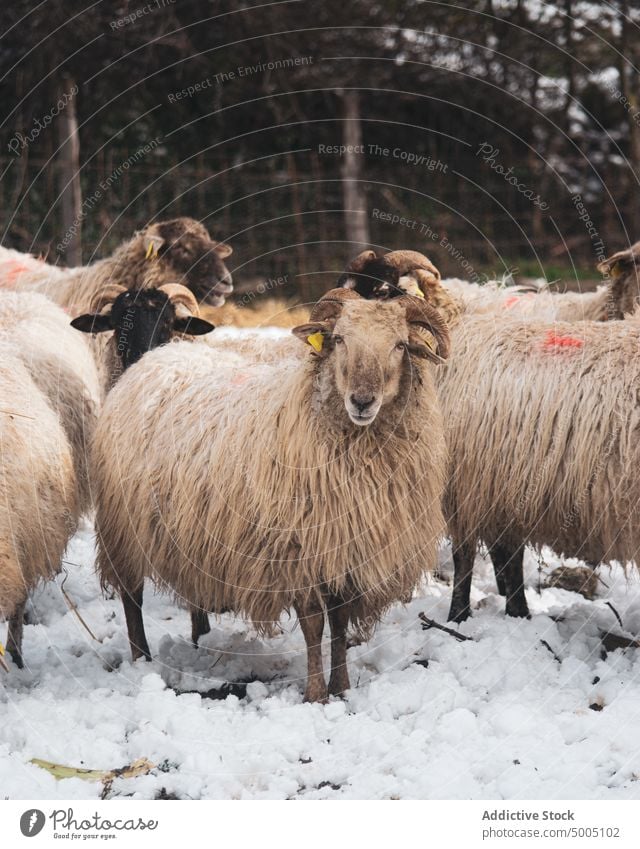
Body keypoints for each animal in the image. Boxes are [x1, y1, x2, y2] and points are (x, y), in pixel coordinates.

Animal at [90, 288, 450, 700]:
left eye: (400, 344)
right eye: (339, 339)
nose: (362, 401)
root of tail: (152, 358)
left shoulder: (346, 547)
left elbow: (340, 624)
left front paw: (342, 688)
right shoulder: (298, 552)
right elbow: (314, 626)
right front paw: (316, 694)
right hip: (123, 527)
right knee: (131, 596)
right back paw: (142, 659)